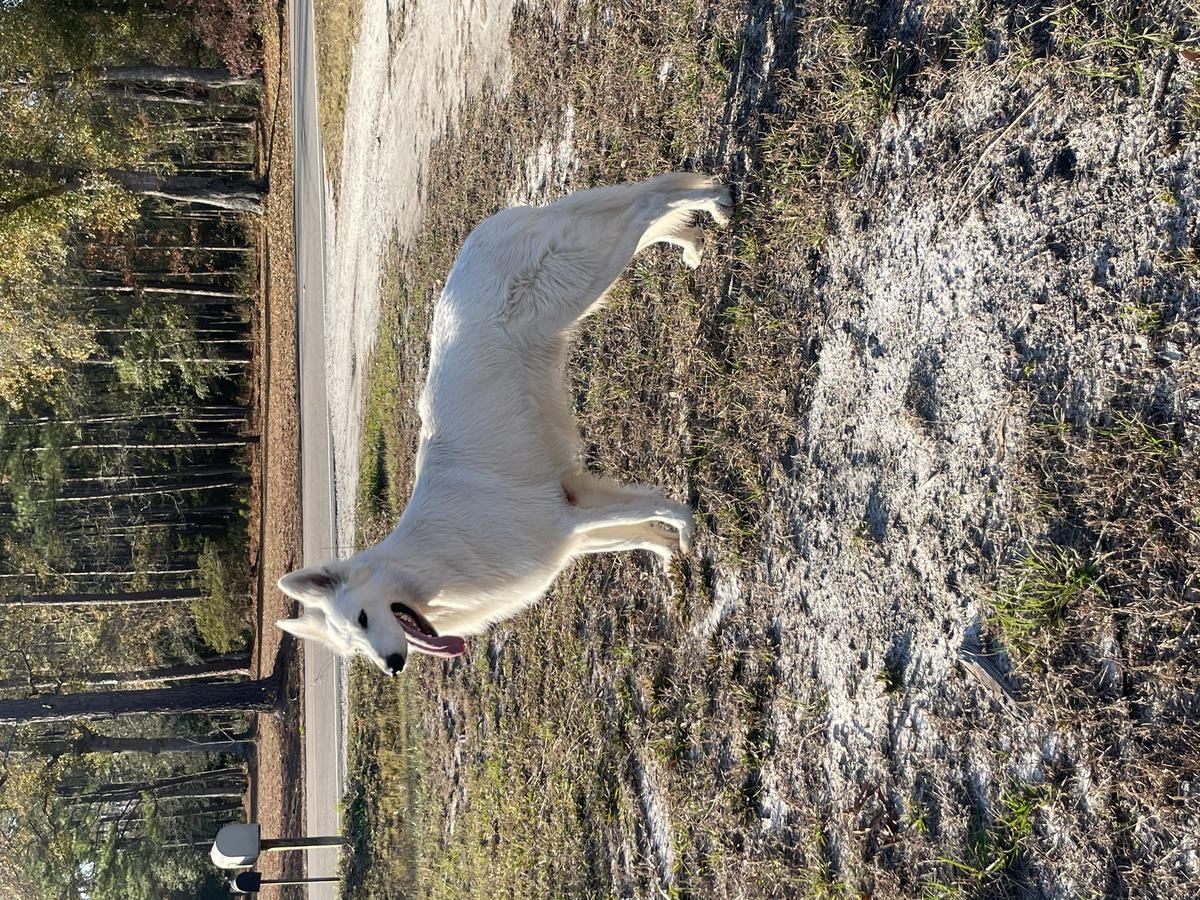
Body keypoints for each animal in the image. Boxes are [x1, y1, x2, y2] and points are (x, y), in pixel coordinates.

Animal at [278, 172, 729, 676]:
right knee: (649, 204)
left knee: (651, 201)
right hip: (587, 276)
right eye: (356, 651)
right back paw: (693, 242)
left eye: (362, 617)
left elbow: (661, 511)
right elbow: (641, 530)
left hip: (583, 272)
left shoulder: (566, 514)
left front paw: (687, 531)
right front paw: (670, 555)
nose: (393, 666)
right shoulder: (574, 523)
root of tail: (488, 228)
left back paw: (717, 203)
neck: (428, 560)